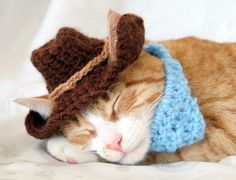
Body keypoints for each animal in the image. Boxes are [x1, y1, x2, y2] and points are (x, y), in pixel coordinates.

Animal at [16, 11, 236, 165]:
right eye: (86, 130)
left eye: (116, 103)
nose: (114, 143)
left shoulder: (225, 131)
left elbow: (164, 152)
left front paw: (67, 148)